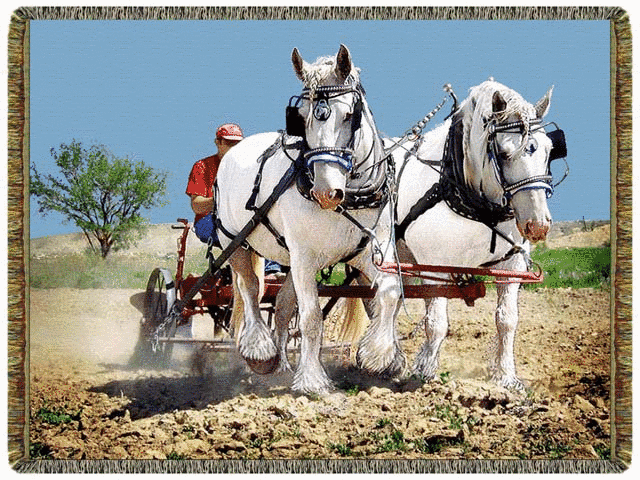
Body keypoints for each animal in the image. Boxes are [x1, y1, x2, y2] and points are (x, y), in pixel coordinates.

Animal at [215, 46, 404, 394]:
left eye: (350, 115)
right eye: (299, 118)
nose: (326, 192)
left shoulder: (370, 251)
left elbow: (389, 291)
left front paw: (378, 355)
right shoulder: (305, 256)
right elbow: (312, 317)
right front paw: (313, 380)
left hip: (289, 259)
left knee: (282, 304)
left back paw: (281, 366)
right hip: (235, 242)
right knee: (251, 289)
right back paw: (261, 351)